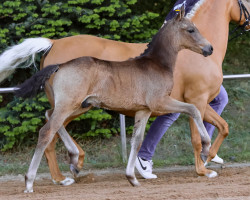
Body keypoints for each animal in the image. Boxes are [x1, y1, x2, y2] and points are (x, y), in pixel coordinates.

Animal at [0, 0, 249, 186]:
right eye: (191, 29)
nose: (209, 49)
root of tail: (53, 43)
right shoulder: (190, 100)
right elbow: (197, 134)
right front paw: (204, 165)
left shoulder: (160, 107)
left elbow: (222, 126)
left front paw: (210, 158)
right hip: (73, 105)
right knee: (48, 129)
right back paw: (52, 176)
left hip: (79, 105)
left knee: (49, 122)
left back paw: (67, 170)